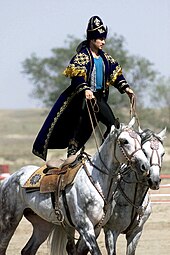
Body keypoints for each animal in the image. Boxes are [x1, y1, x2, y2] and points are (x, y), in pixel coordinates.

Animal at [0, 118, 149, 254]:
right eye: (124, 141)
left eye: (140, 140)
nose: (145, 166)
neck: (96, 181)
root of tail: (9, 179)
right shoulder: (85, 226)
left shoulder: (96, 228)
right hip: (9, 221)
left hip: (42, 224)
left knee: (28, 250)